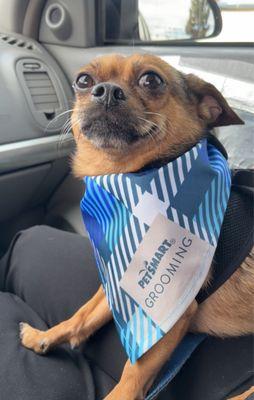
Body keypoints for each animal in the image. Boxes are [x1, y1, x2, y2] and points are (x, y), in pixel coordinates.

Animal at [20, 54, 254, 400]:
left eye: (151, 80)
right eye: (83, 80)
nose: (106, 91)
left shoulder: (168, 310)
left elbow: (132, 375)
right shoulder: (119, 280)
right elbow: (83, 315)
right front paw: (44, 337)